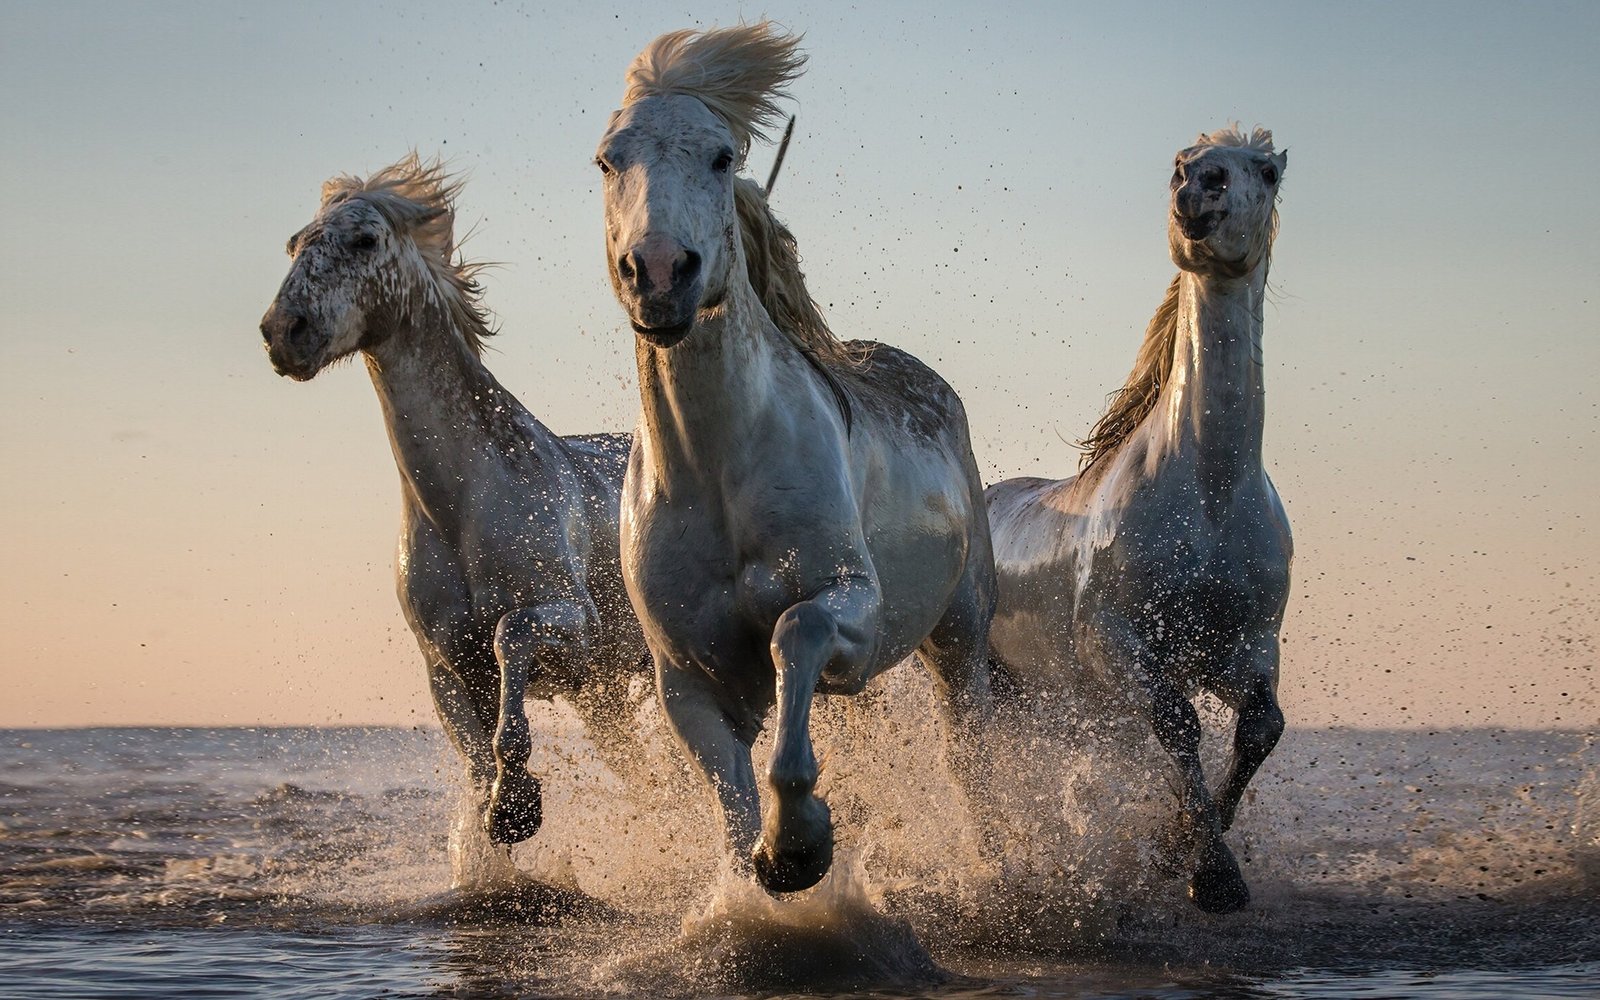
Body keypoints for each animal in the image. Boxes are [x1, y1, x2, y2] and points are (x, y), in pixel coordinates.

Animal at [256, 156, 643, 857]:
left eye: (364, 240)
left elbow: (511, 636)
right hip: (607, 698)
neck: (462, 504)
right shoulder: (447, 668)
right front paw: (505, 811)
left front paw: (517, 802)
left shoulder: (573, 625)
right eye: (295, 244)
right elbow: (476, 760)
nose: (283, 333)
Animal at [601, 27, 998, 896]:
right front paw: (763, 867)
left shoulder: (850, 604)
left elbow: (796, 632)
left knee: (972, 753)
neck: (718, 471)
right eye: (609, 160)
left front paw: (799, 845)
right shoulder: (686, 676)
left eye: (721, 156)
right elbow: (732, 801)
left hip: (961, 635)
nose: (659, 272)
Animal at [985, 126, 1286, 915]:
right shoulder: (1118, 645)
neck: (1209, 491)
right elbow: (1179, 725)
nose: (1199, 188)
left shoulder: (1244, 647)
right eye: (1179, 164)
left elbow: (1260, 729)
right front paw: (1212, 875)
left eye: (1266, 170)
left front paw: (1182, 845)